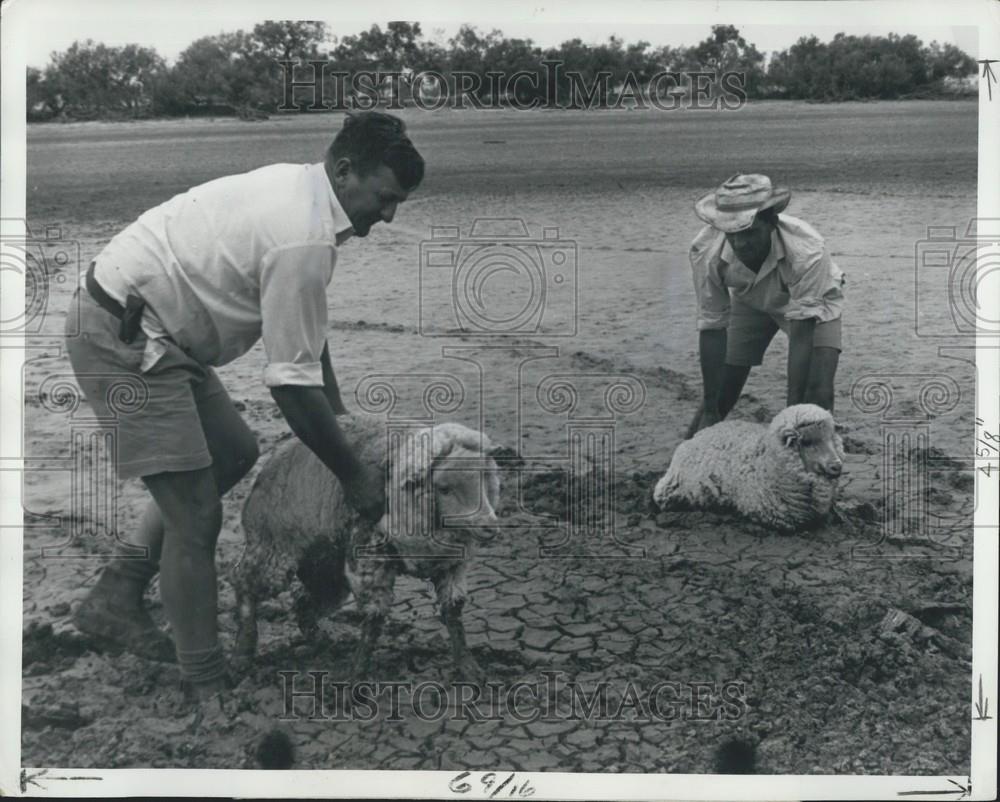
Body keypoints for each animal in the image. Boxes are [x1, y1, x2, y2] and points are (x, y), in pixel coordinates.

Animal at [232, 412, 500, 680]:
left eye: (484, 479)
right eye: (444, 488)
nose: (489, 527)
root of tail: (268, 465)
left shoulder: (451, 566)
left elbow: (453, 613)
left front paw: (468, 667)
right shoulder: (370, 562)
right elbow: (374, 618)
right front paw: (357, 674)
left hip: (325, 569)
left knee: (303, 601)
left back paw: (321, 639)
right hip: (272, 551)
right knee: (244, 583)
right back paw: (243, 650)